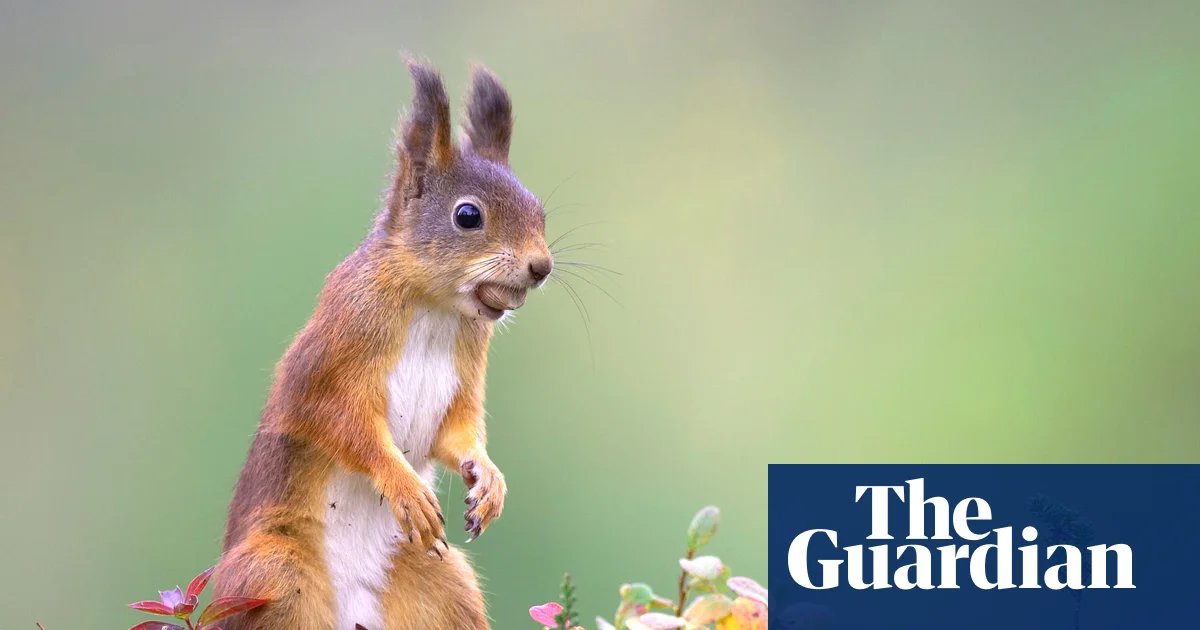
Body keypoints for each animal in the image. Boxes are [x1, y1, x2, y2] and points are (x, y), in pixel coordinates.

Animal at [212, 60, 553, 630]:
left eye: (541, 211)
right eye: (467, 215)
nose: (541, 267)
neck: (435, 308)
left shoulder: (465, 372)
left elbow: (456, 430)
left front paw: (489, 480)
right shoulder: (335, 346)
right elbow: (336, 420)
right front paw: (404, 485)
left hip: (442, 583)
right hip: (270, 574)